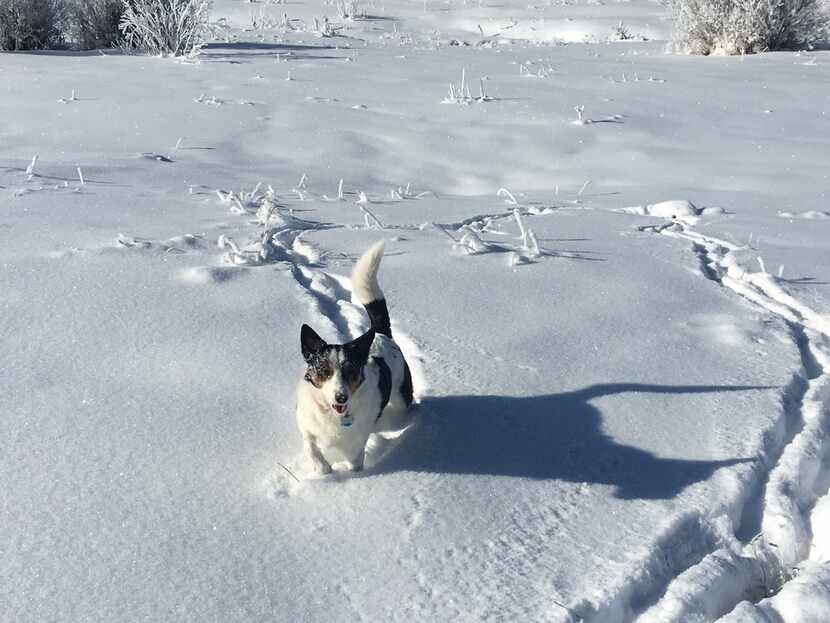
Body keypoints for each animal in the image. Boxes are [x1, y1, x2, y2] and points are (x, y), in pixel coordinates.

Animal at [300, 241, 416, 476]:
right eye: (324, 371)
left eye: (351, 371)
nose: (341, 397)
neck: (334, 415)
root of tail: (380, 333)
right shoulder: (306, 424)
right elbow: (311, 448)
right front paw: (324, 469)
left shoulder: (355, 448)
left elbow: (354, 465)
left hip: (402, 395)